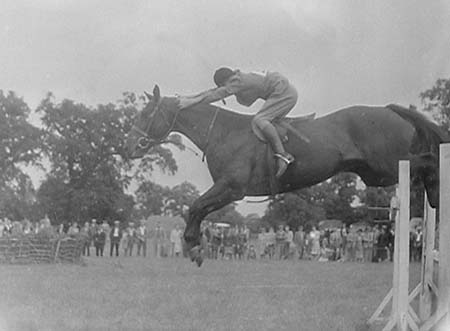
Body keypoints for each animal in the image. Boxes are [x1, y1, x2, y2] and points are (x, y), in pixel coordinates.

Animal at [126, 85, 450, 268]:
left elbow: (194, 207)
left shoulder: (231, 188)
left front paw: (193, 247)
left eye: (146, 115)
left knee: (430, 160)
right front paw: (194, 246)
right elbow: (195, 209)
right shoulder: (227, 190)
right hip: (375, 174)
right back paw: (436, 197)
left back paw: (437, 194)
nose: (130, 148)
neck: (222, 133)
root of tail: (389, 111)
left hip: (389, 165)